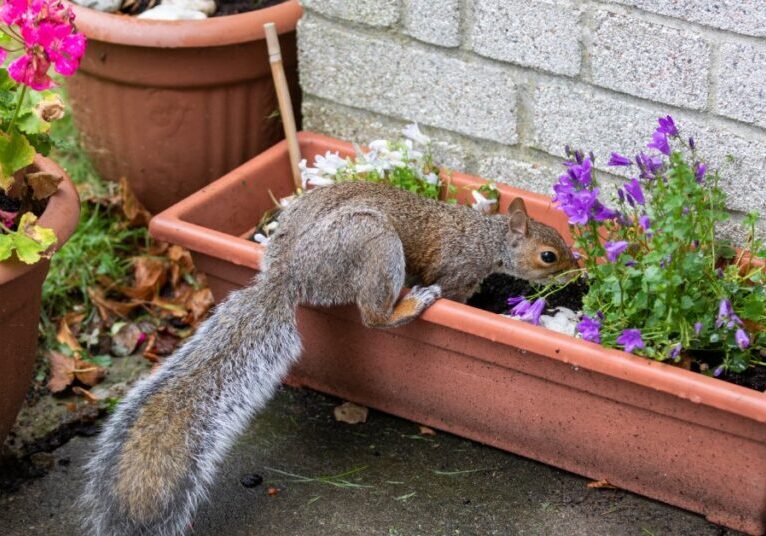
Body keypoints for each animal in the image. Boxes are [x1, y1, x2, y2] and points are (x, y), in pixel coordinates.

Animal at [81, 180, 576, 536]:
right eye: (549, 255)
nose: (579, 269)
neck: (486, 237)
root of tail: (289, 273)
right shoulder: (456, 270)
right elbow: (455, 289)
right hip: (373, 244)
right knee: (374, 317)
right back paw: (412, 304)